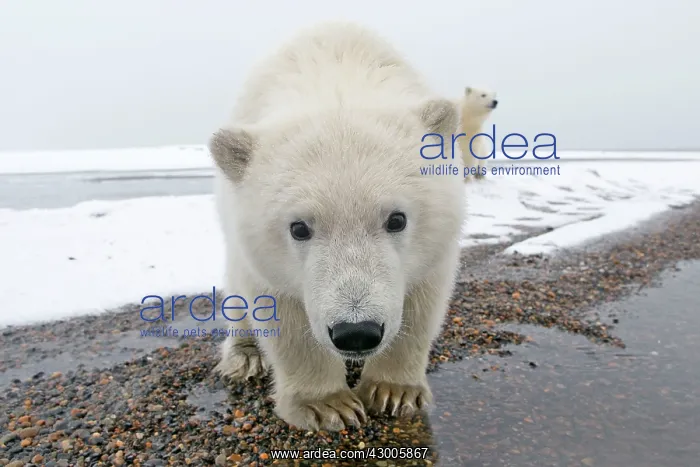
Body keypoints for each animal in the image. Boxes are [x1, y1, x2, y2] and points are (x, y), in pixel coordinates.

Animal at [208, 21, 467, 432]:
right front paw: (327, 404)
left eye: (397, 218)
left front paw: (393, 391)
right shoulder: (260, 254)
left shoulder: (436, 246)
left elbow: (420, 303)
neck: (336, 69)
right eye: (299, 228)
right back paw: (245, 354)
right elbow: (283, 316)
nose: (356, 332)